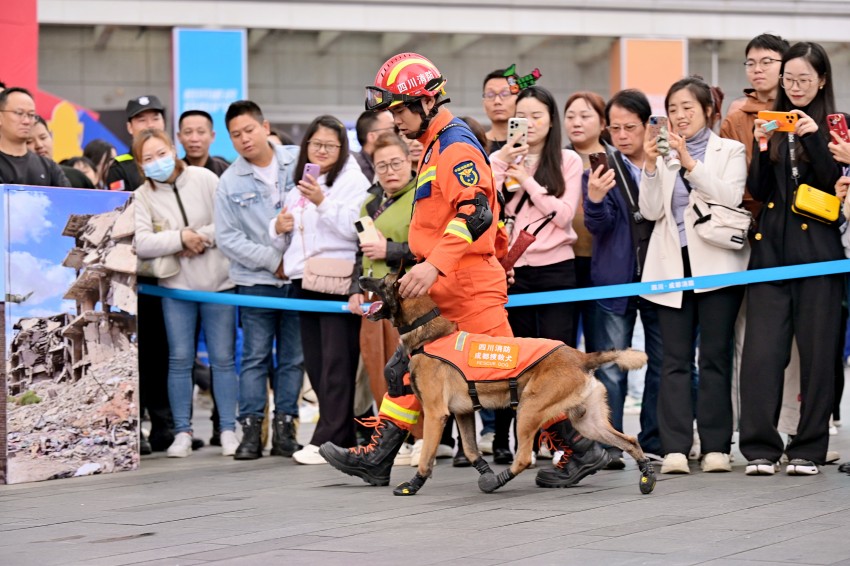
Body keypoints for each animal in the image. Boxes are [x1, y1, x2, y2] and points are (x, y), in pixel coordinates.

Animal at [362, 272, 660, 500]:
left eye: (384, 281)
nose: (361, 278)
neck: (430, 335)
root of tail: (580, 356)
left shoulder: (437, 414)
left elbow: (426, 457)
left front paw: (413, 484)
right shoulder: (463, 413)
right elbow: (470, 450)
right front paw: (484, 471)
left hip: (528, 409)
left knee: (524, 458)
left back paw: (500, 481)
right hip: (587, 422)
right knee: (629, 440)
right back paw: (646, 475)